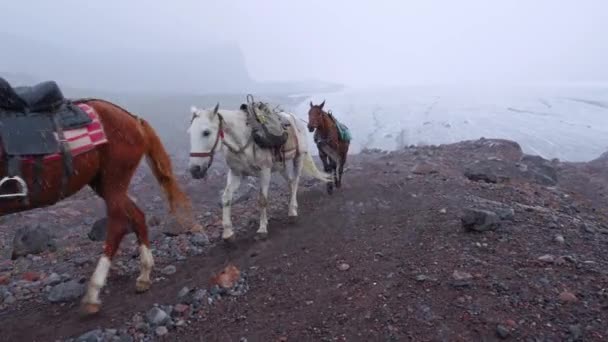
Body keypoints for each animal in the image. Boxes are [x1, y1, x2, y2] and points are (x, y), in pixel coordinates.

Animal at [0, 90, 192, 312]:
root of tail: (134, 119)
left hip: (113, 180)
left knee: (118, 224)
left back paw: (94, 291)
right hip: (104, 184)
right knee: (137, 216)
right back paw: (144, 275)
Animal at [189, 103, 332, 239]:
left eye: (206, 132)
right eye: (189, 133)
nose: (194, 170)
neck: (243, 141)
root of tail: (295, 119)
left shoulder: (265, 172)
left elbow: (262, 200)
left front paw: (262, 229)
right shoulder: (235, 174)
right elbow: (226, 198)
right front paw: (228, 233)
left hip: (299, 157)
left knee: (296, 182)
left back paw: (292, 212)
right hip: (281, 166)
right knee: (291, 182)